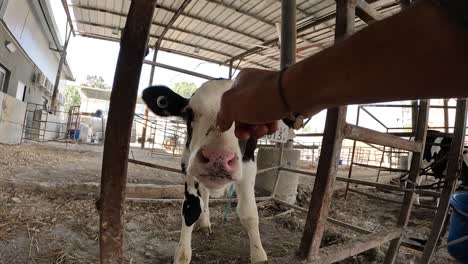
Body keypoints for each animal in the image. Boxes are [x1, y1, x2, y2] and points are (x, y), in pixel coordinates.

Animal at [143, 80, 266, 264]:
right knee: (205, 195)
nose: (218, 158)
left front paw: (259, 255)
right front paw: (182, 256)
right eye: (189, 113)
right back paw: (205, 223)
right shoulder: (188, 163)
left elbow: (249, 213)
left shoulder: (249, 163)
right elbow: (191, 209)